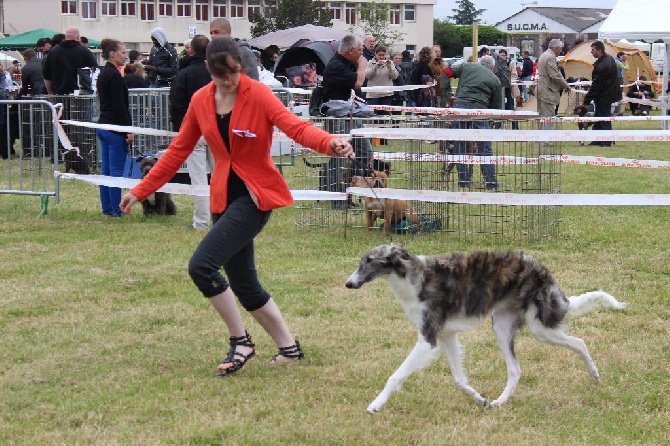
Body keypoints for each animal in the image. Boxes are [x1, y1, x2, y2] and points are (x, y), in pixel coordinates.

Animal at [346, 246, 632, 412]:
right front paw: (479, 398)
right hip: (502, 328)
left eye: (369, 261)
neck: (415, 280)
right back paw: (499, 402)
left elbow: (396, 376)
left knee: (579, 342)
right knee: (516, 370)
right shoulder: (446, 335)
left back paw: (594, 375)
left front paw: (375, 404)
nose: (348, 284)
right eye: (361, 261)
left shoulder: (428, 339)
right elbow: (460, 380)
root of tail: (543, 272)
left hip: (540, 328)